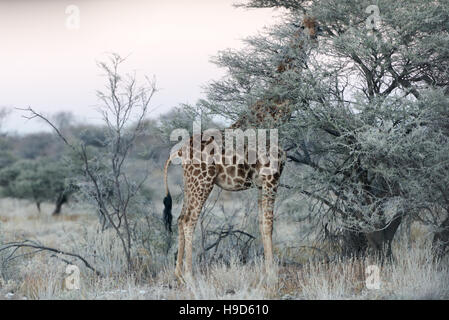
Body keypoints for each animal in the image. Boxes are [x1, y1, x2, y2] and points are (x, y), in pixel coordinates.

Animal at [163, 15, 316, 280]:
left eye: (319, 25)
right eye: (304, 26)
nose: (315, 37)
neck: (276, 118)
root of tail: (180, 150)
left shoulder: (261, 182)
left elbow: (261, 223)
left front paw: (267, 270)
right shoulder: (271, 178)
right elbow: (269, 224)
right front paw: (272, 273)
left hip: (190, 183)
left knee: (181, 218)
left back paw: (179, 273)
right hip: (202, 182)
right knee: (189, 220)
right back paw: (190, 275)